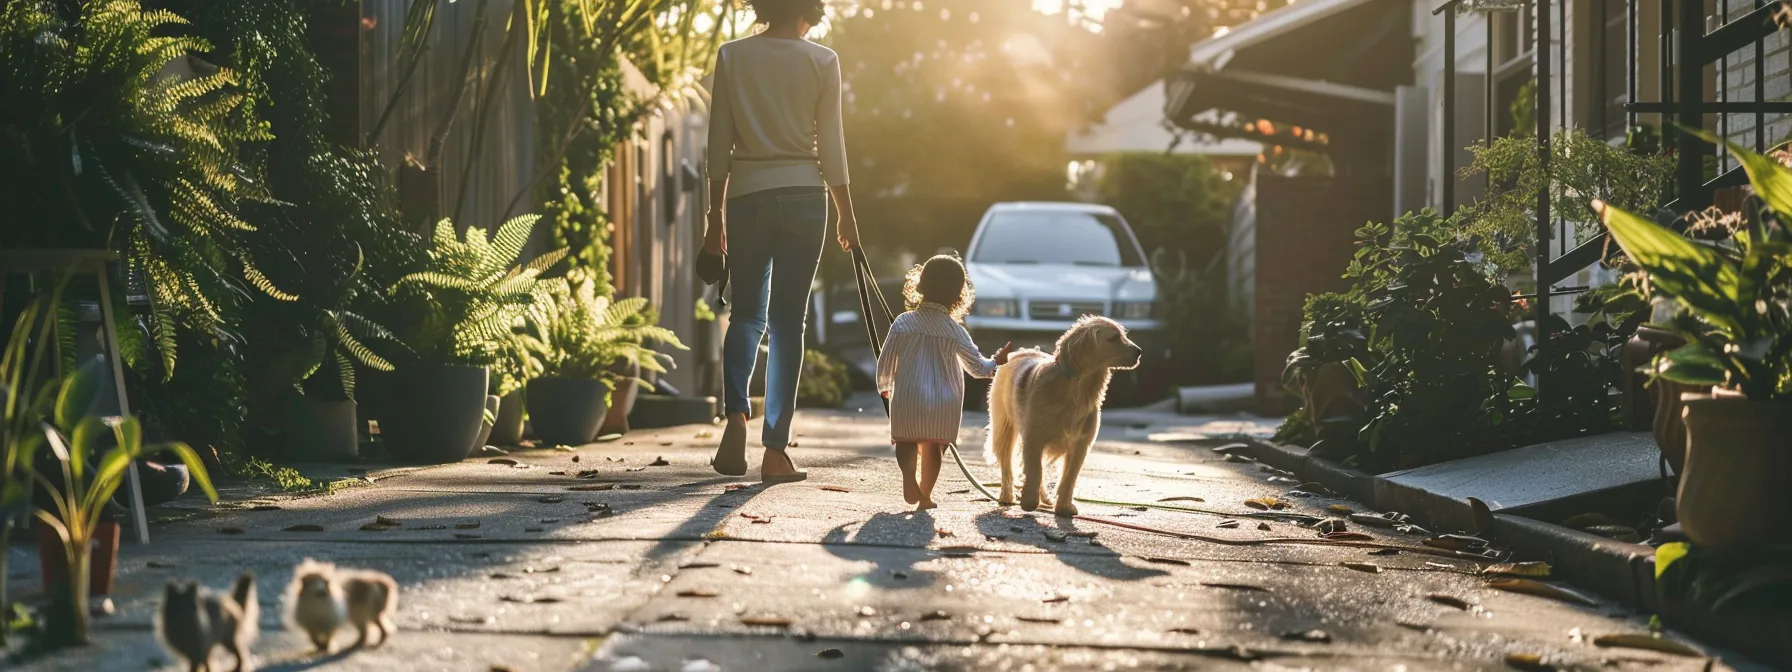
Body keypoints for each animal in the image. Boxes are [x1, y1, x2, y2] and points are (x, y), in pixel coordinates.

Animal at [989, 315, 1139, 516]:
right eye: (1113, 338)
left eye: (1123, 335)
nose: (1139, 352)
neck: (1078, 388)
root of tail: (1018, 353)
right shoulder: (1034, 438)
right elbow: (1034, 471)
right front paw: (1029, 501)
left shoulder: (1080, 445)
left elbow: (1069, 477)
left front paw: (1064, 507)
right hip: (1003, 428)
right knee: (1007, 464)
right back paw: (1007, 496)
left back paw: (1044, 499)